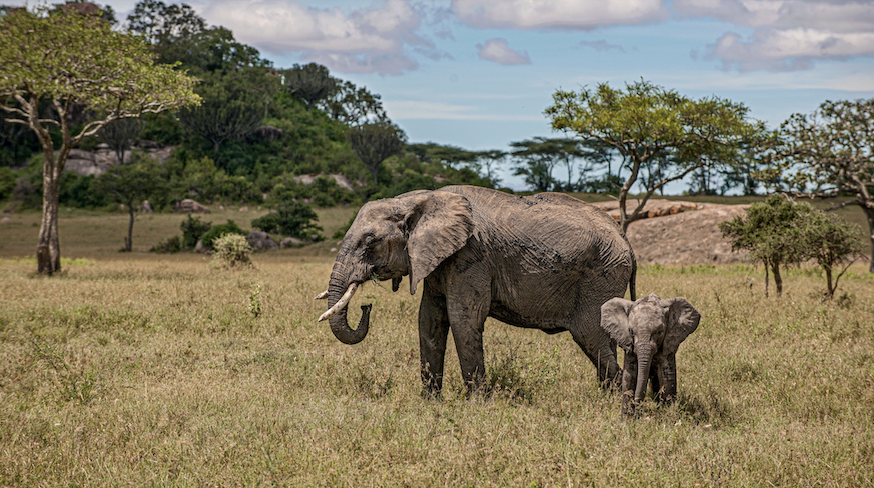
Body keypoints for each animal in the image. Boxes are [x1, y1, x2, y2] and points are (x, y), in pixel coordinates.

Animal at [314, 185, 632, 394]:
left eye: (370, 243)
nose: (366, 306)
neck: (418, 199)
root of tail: (624, 238)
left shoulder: (471, 255)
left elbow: (463, 319)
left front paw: (477, 404)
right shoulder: (439, 261)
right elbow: (429, 320)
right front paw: (430, 402)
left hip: (600, 279)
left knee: (591, 336)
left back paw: (613, 401)